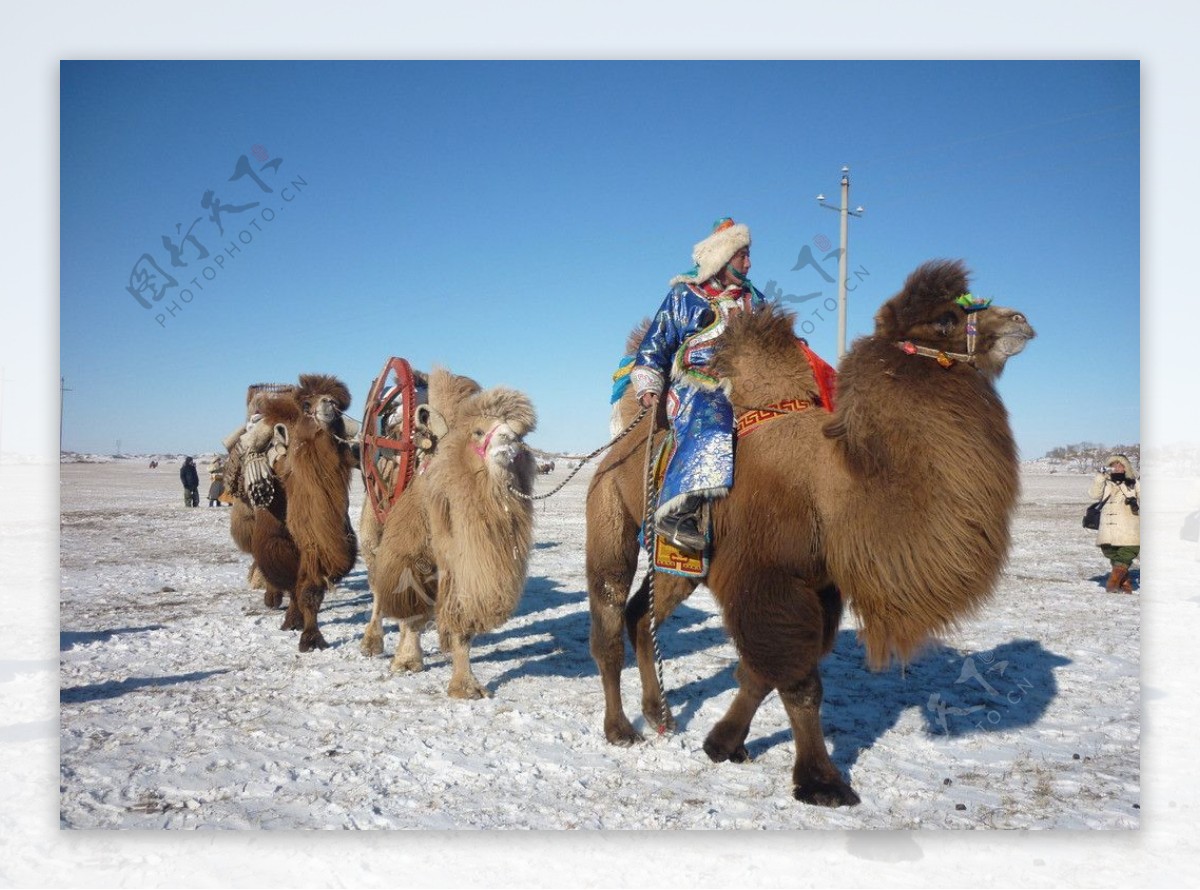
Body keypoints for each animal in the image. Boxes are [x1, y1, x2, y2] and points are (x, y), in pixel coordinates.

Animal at [250, 393, 357, 652]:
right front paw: (306, 636)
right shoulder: (296, 546)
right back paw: (273, 599)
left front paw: (308, 634)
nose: (328, 402)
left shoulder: (316, 548)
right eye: (307, 405)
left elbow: (309, 591)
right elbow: (301, 590)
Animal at [360, 367, 540, 695]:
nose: (509, 441)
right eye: (479, 431)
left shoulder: (462, 566)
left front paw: (466, 684)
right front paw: (407, 661)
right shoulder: (413, 554)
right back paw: (371, 642)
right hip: (373, 528)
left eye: (519, 433)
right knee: (378, 587)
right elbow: (410, 609)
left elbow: (461, 622)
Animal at [585, 257, 1036, 810]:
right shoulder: (769, 578)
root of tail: (617, 447)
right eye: (946, 319)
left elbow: (763, 672)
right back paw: (620, 729)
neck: (831, 487)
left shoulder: (819, 587)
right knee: (609, 620)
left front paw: (723, 743)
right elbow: (799, 682)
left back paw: (660, 715)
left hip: (681, 562)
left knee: (641, 615)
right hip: (608, 514)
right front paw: (822, 782)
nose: (1019, 319)